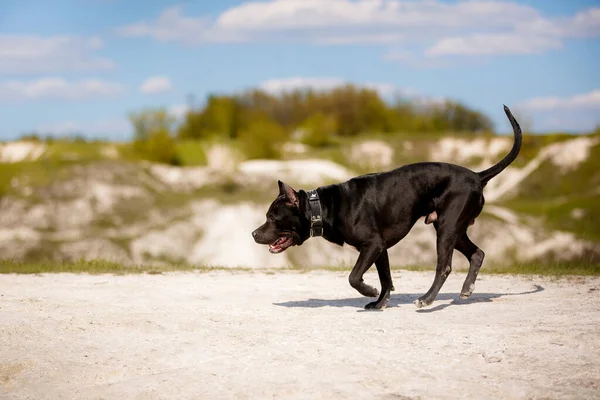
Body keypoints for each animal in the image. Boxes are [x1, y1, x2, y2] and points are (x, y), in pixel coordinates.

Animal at [252, 105, 520, 310]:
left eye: (272, 217)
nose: (253, 233)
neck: (324, 207)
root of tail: (477, 175)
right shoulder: (380, 249)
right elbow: (386, 278)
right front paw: (380, 303)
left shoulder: (372, 245)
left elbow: (354, 277)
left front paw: (369, 292)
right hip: (455, 228)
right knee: (477, 253)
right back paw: (466, 289)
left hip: (447, 227)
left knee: (444, 266)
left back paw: (427, 299)